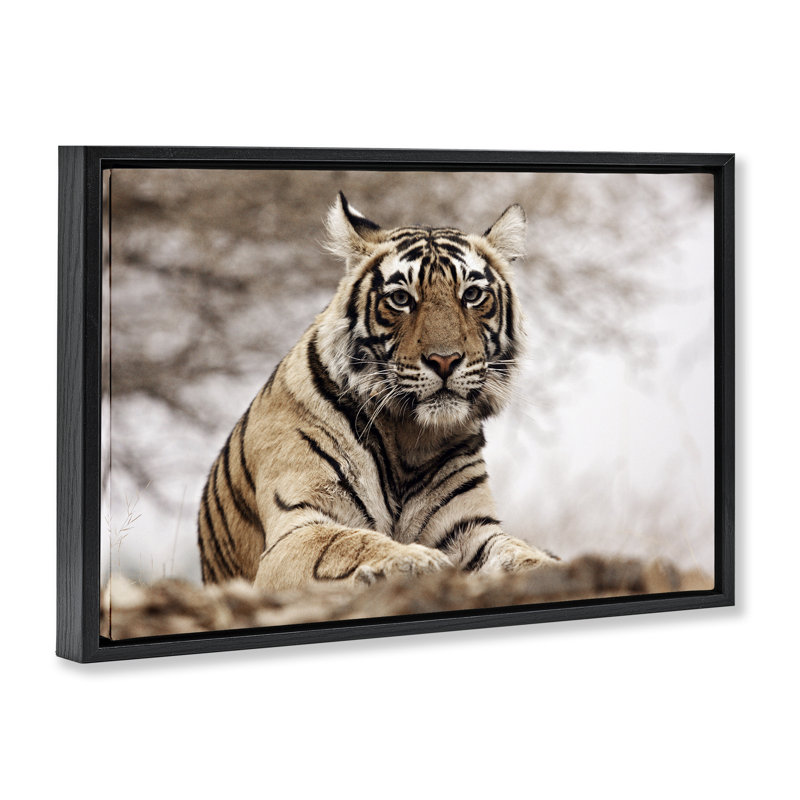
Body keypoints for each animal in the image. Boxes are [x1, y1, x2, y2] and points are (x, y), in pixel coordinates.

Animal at [197, 193, 556, 591]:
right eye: (401, 299)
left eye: (473, 295)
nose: (444, 360)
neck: (410, 437)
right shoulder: (297, 527)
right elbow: (349, 543)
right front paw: (415, 559)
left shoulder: (470, 528)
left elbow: (517, 551)